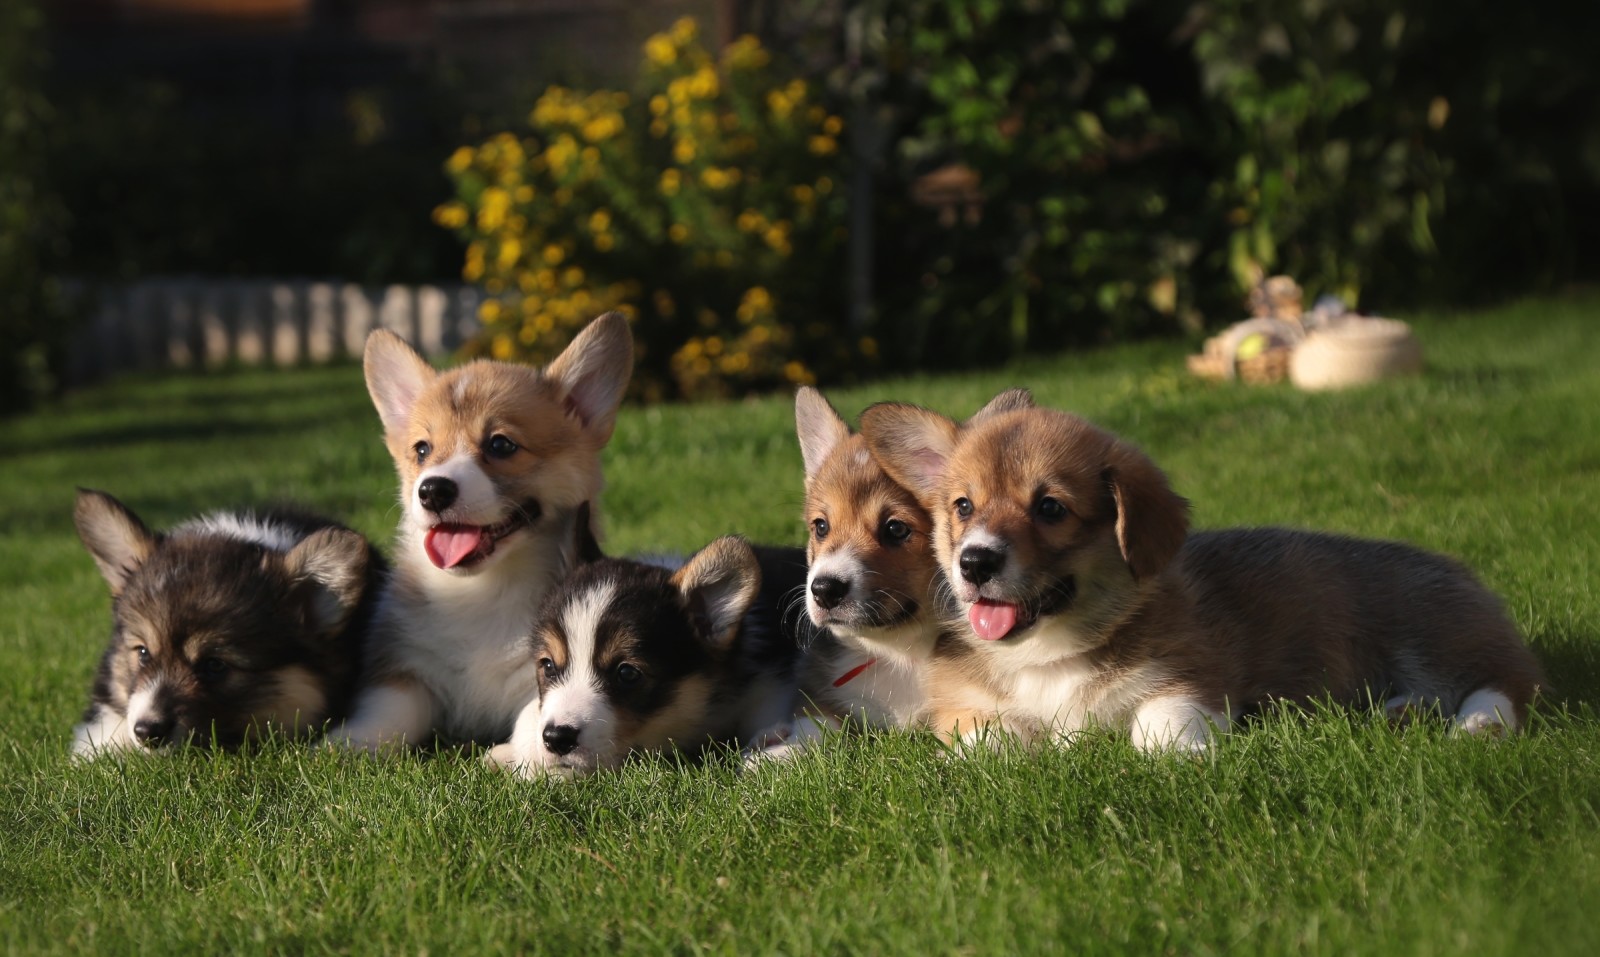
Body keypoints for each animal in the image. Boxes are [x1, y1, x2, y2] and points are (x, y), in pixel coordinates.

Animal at [328, 313, 633, 748]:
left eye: (501, 445)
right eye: (422, 449)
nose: (432, 491)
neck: (481, 592)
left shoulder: (543, 673)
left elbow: (534, 716)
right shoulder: (408, 664)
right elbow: (387, 707)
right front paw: (346, 742)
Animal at [864, 395, 1548, 748]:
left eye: (1050, 508)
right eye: (963, 506)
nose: (974, 562)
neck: (1051, 654)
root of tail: (1462, 573)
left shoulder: (1190, 676)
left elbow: (1159, 733)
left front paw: (1172, 758)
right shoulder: (964, 707)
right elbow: (995, 741)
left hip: (1438, 636)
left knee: (1508, 686)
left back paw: (1475, 726)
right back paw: (1397, 712)